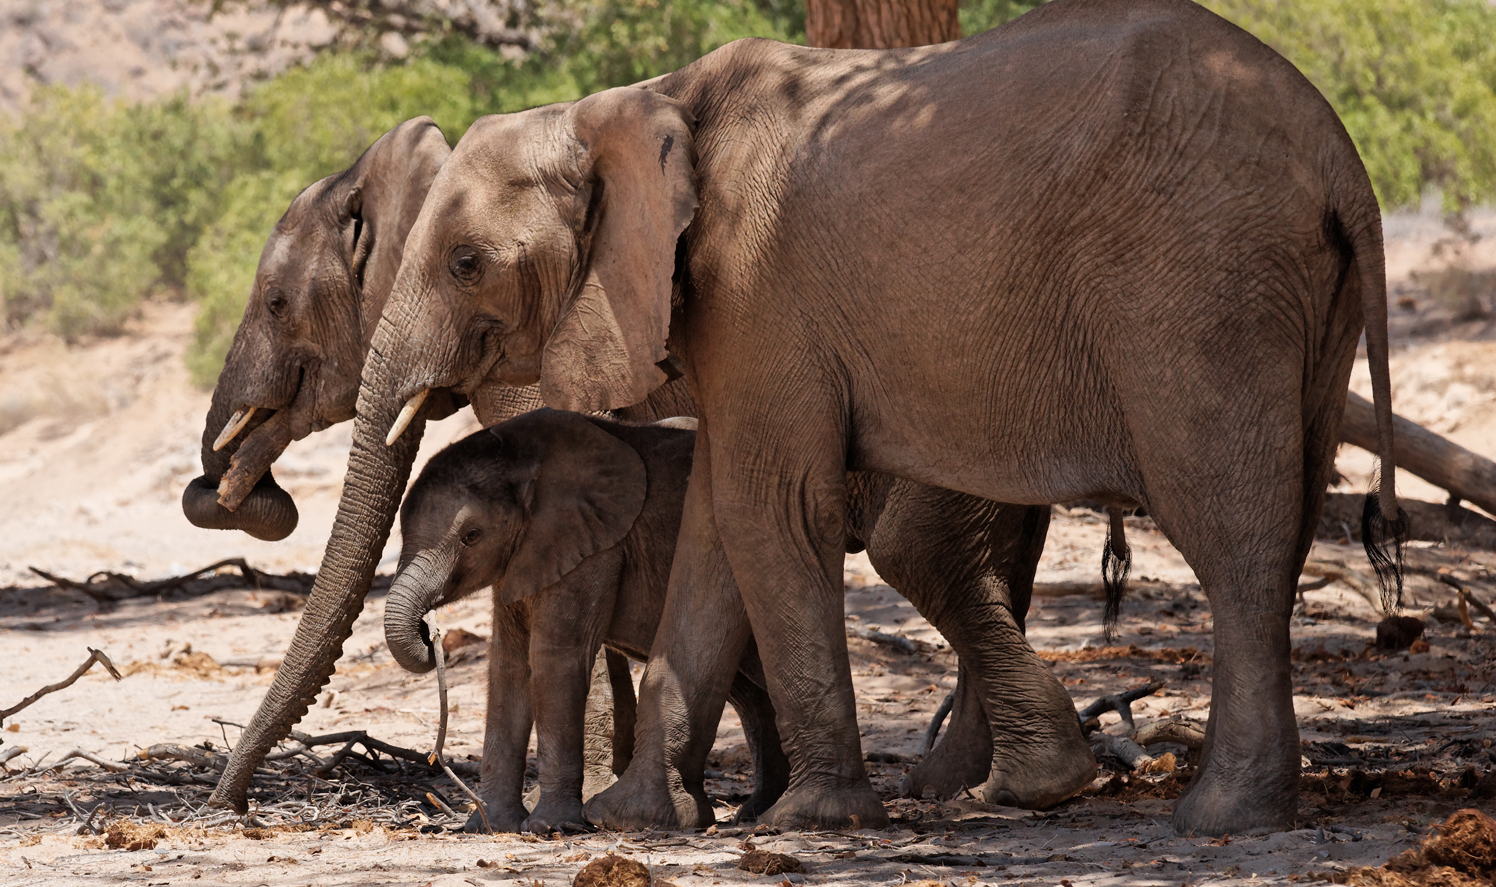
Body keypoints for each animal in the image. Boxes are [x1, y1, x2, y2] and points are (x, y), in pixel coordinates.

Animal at [382, 406, 795, 831]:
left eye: (472, 536)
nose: (431, 633)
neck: (523, 460)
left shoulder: (593, 547)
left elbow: (554, 660)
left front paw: (550, 827)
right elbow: (508, 670)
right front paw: (491, 827)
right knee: (746, 688)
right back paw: (755, 811)